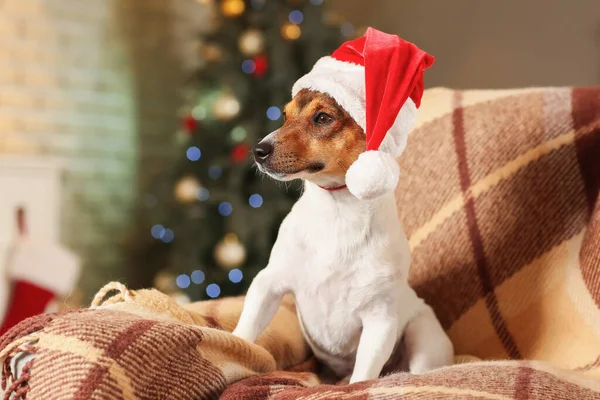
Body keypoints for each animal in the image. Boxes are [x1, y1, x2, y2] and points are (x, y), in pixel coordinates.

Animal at [232, 89, 452, 382]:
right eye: (284, 115)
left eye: (323, 118)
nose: (259, 150)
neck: (336, 213)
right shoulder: (268, 283)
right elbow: (247, 327)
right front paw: (236, 347)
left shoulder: (379, 320)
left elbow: (363, 376)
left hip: (423, 336)